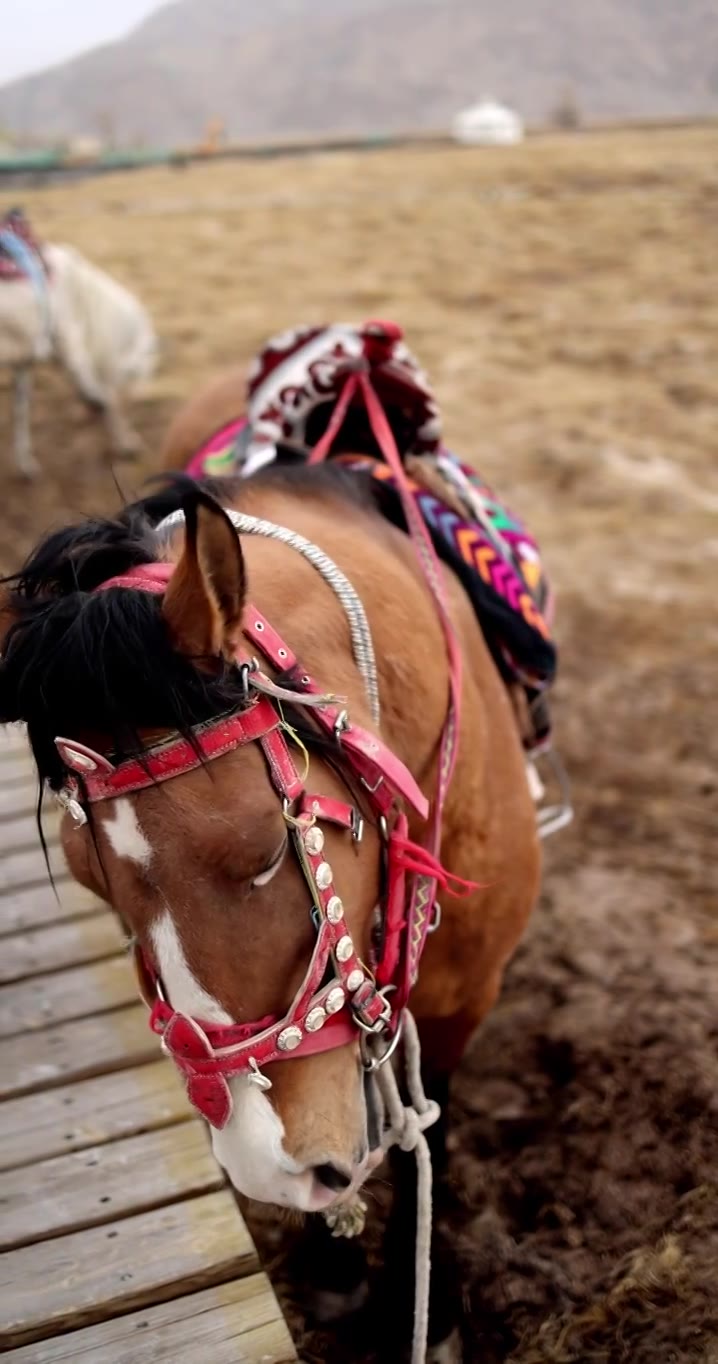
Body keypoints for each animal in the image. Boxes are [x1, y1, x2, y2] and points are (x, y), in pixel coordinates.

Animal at [0, 240, 157, 480]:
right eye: (146, 365)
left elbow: (20, 415)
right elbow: (105, 401)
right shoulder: (75, 357)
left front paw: (25, 465)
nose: (144, 392)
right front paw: (126, 444)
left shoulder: (24, 364)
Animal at [0, 395, 540, 1353]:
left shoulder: (465, 997)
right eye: (91, 882)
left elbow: (427, 1124)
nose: (264, 1165)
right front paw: (333, 1266)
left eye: (263, 849)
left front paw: (419, 1303)